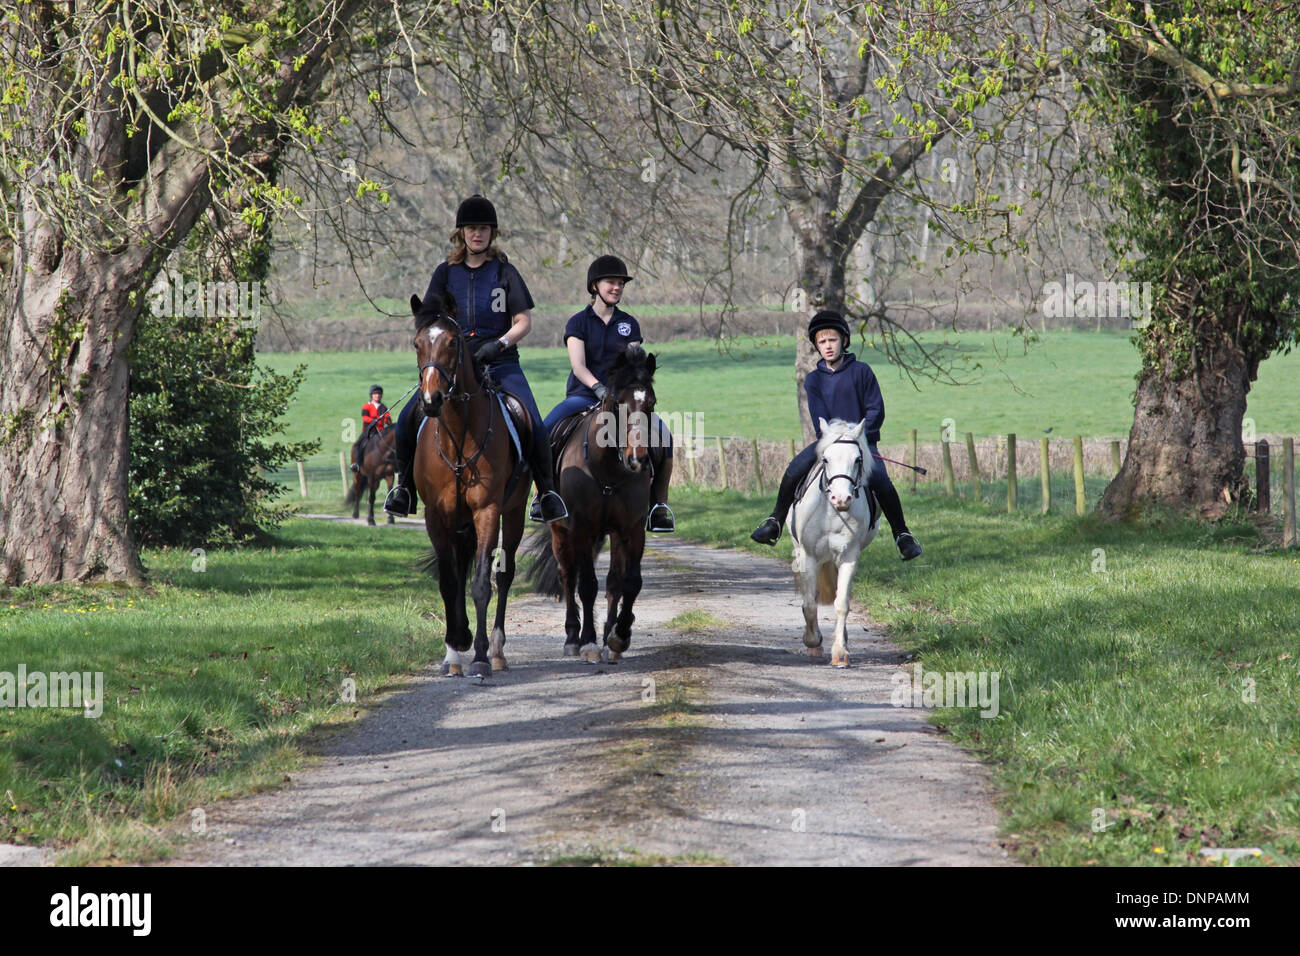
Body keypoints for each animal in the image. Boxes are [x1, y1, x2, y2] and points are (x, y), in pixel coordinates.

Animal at [408, 291, 525, 681]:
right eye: (417, 344)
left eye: (452, 342)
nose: (431, 400)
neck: (459, 434)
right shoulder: (436, 515)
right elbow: (449, 582)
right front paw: (454, 649)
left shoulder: (487, 511)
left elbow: (481, 583)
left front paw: (481, 657)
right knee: (460, 571)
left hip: (514, 512)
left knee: (505, 574)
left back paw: (498, 650)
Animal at [530, 345, 660, 665]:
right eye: (619, 402)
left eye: (651, 403)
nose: (638, 459)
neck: (609, 470)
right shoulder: (580, 527)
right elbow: (587, 585)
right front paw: (588, 642)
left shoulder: (631, 529)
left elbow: (630, 582)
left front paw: (618, 636)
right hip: (561, 533)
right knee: (568, 576)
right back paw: (572, 637)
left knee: (613, 582)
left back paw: (608, 634)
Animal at [785, 416, 878, 671]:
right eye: (826, 459)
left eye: (857, 459)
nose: (841, 499)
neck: (831, 512)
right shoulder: (808, 556)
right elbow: (809, 603)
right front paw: (812, 641)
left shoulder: (849, 557)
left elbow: (841, 603)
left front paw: (840, 652)